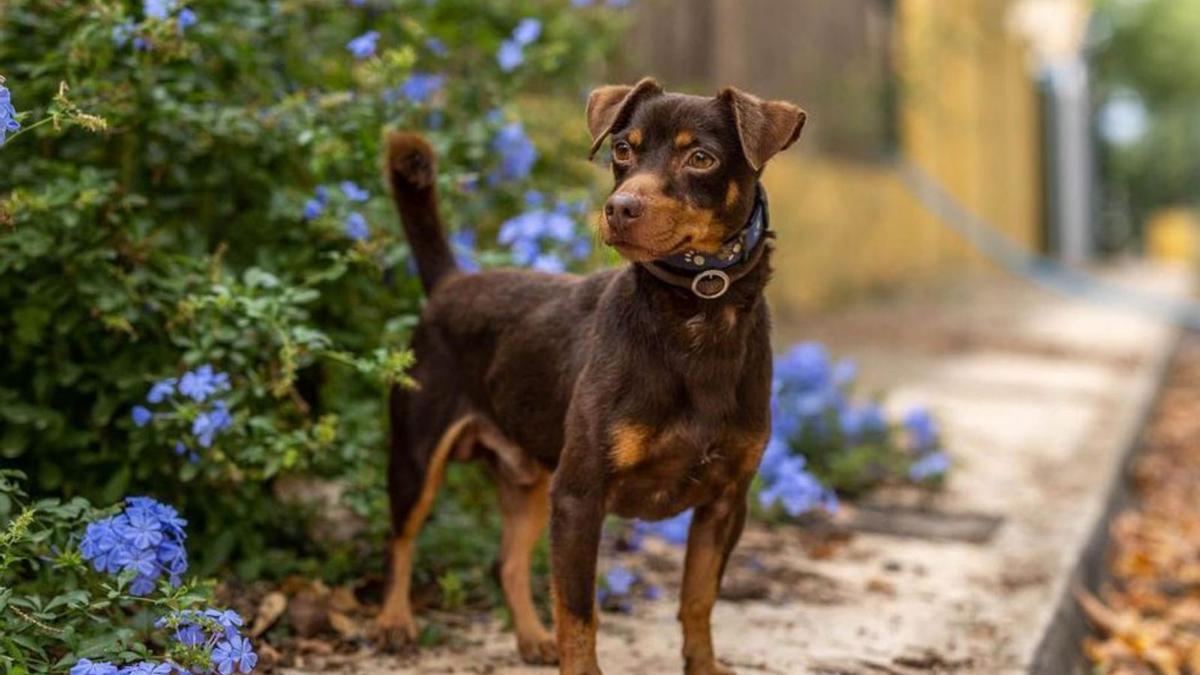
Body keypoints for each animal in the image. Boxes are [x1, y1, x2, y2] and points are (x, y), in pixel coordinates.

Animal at [374, 78, 806, 672]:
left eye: (701, 158)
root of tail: (450, 282)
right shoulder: (579, 497)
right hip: (417, 458)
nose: (619, 208)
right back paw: (394, 621)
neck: (696, 314)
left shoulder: (724, 504)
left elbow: (699, 601)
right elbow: (579, 614)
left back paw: (532, 638)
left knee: (506, 563)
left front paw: (703, 666)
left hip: (527, 480)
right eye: (622, 150)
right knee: (399, 541)